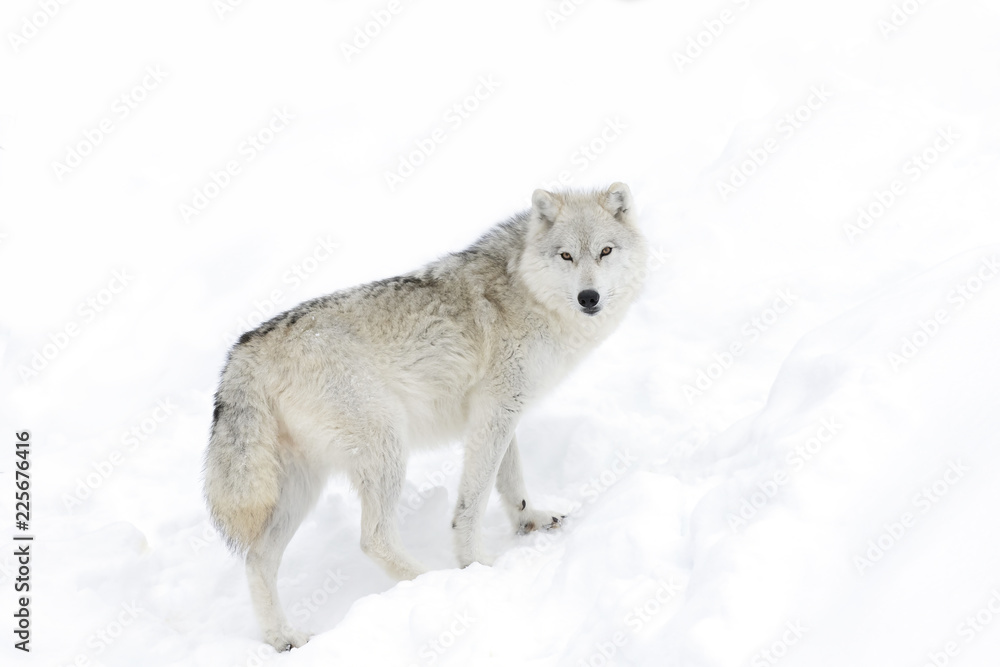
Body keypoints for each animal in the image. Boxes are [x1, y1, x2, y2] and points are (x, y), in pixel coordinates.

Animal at [203, 183, 648, 650]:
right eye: (566, 256)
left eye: (605, 251)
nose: (589, 298)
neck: (524, 289)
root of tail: (243, 351)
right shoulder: (497, 408)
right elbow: (473, 501)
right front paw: (476, 565)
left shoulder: (501, 411)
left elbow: (511, 483)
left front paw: (531, 522)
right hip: (387, 447)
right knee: (373, 539)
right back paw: (431, 581)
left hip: (300, 488)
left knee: (257, 559)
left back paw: (284, 639)